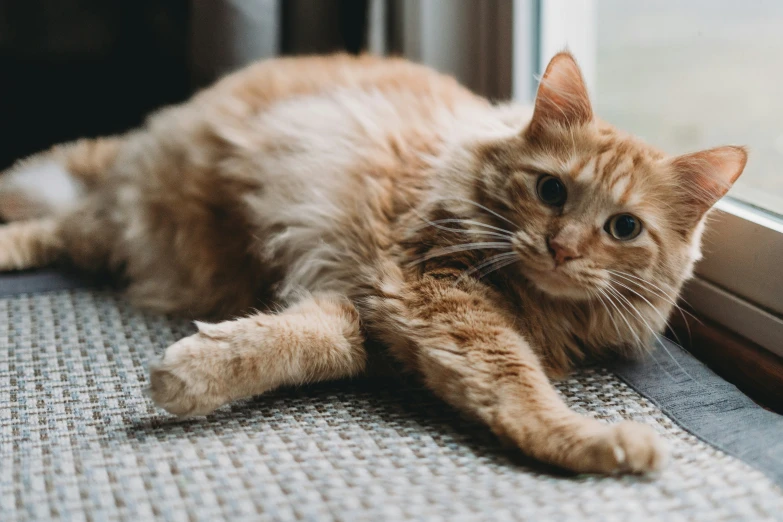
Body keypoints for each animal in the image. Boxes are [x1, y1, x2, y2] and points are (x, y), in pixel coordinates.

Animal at [0, 51, 748, 472]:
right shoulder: (436, 291)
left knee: (55, 232)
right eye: (551, 191)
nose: (561, 247)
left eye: (623, 228)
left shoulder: (369, 313)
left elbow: (299, 344)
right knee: (43, 218)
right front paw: (596, 442)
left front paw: (194, 373)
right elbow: (520, 389)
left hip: (116, 231)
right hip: (114, 209)